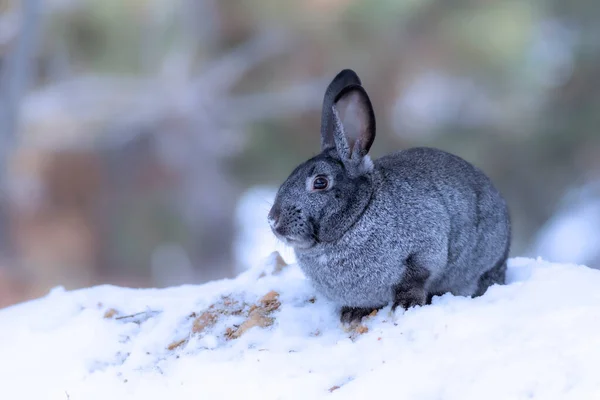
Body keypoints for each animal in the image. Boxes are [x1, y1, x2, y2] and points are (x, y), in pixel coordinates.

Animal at [268, 69, 510, 324]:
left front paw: (405, 307)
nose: (273, 219)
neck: (359, 215)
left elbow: (414, 281)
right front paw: (352, 315)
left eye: (320, 182)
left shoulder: (423, 251)